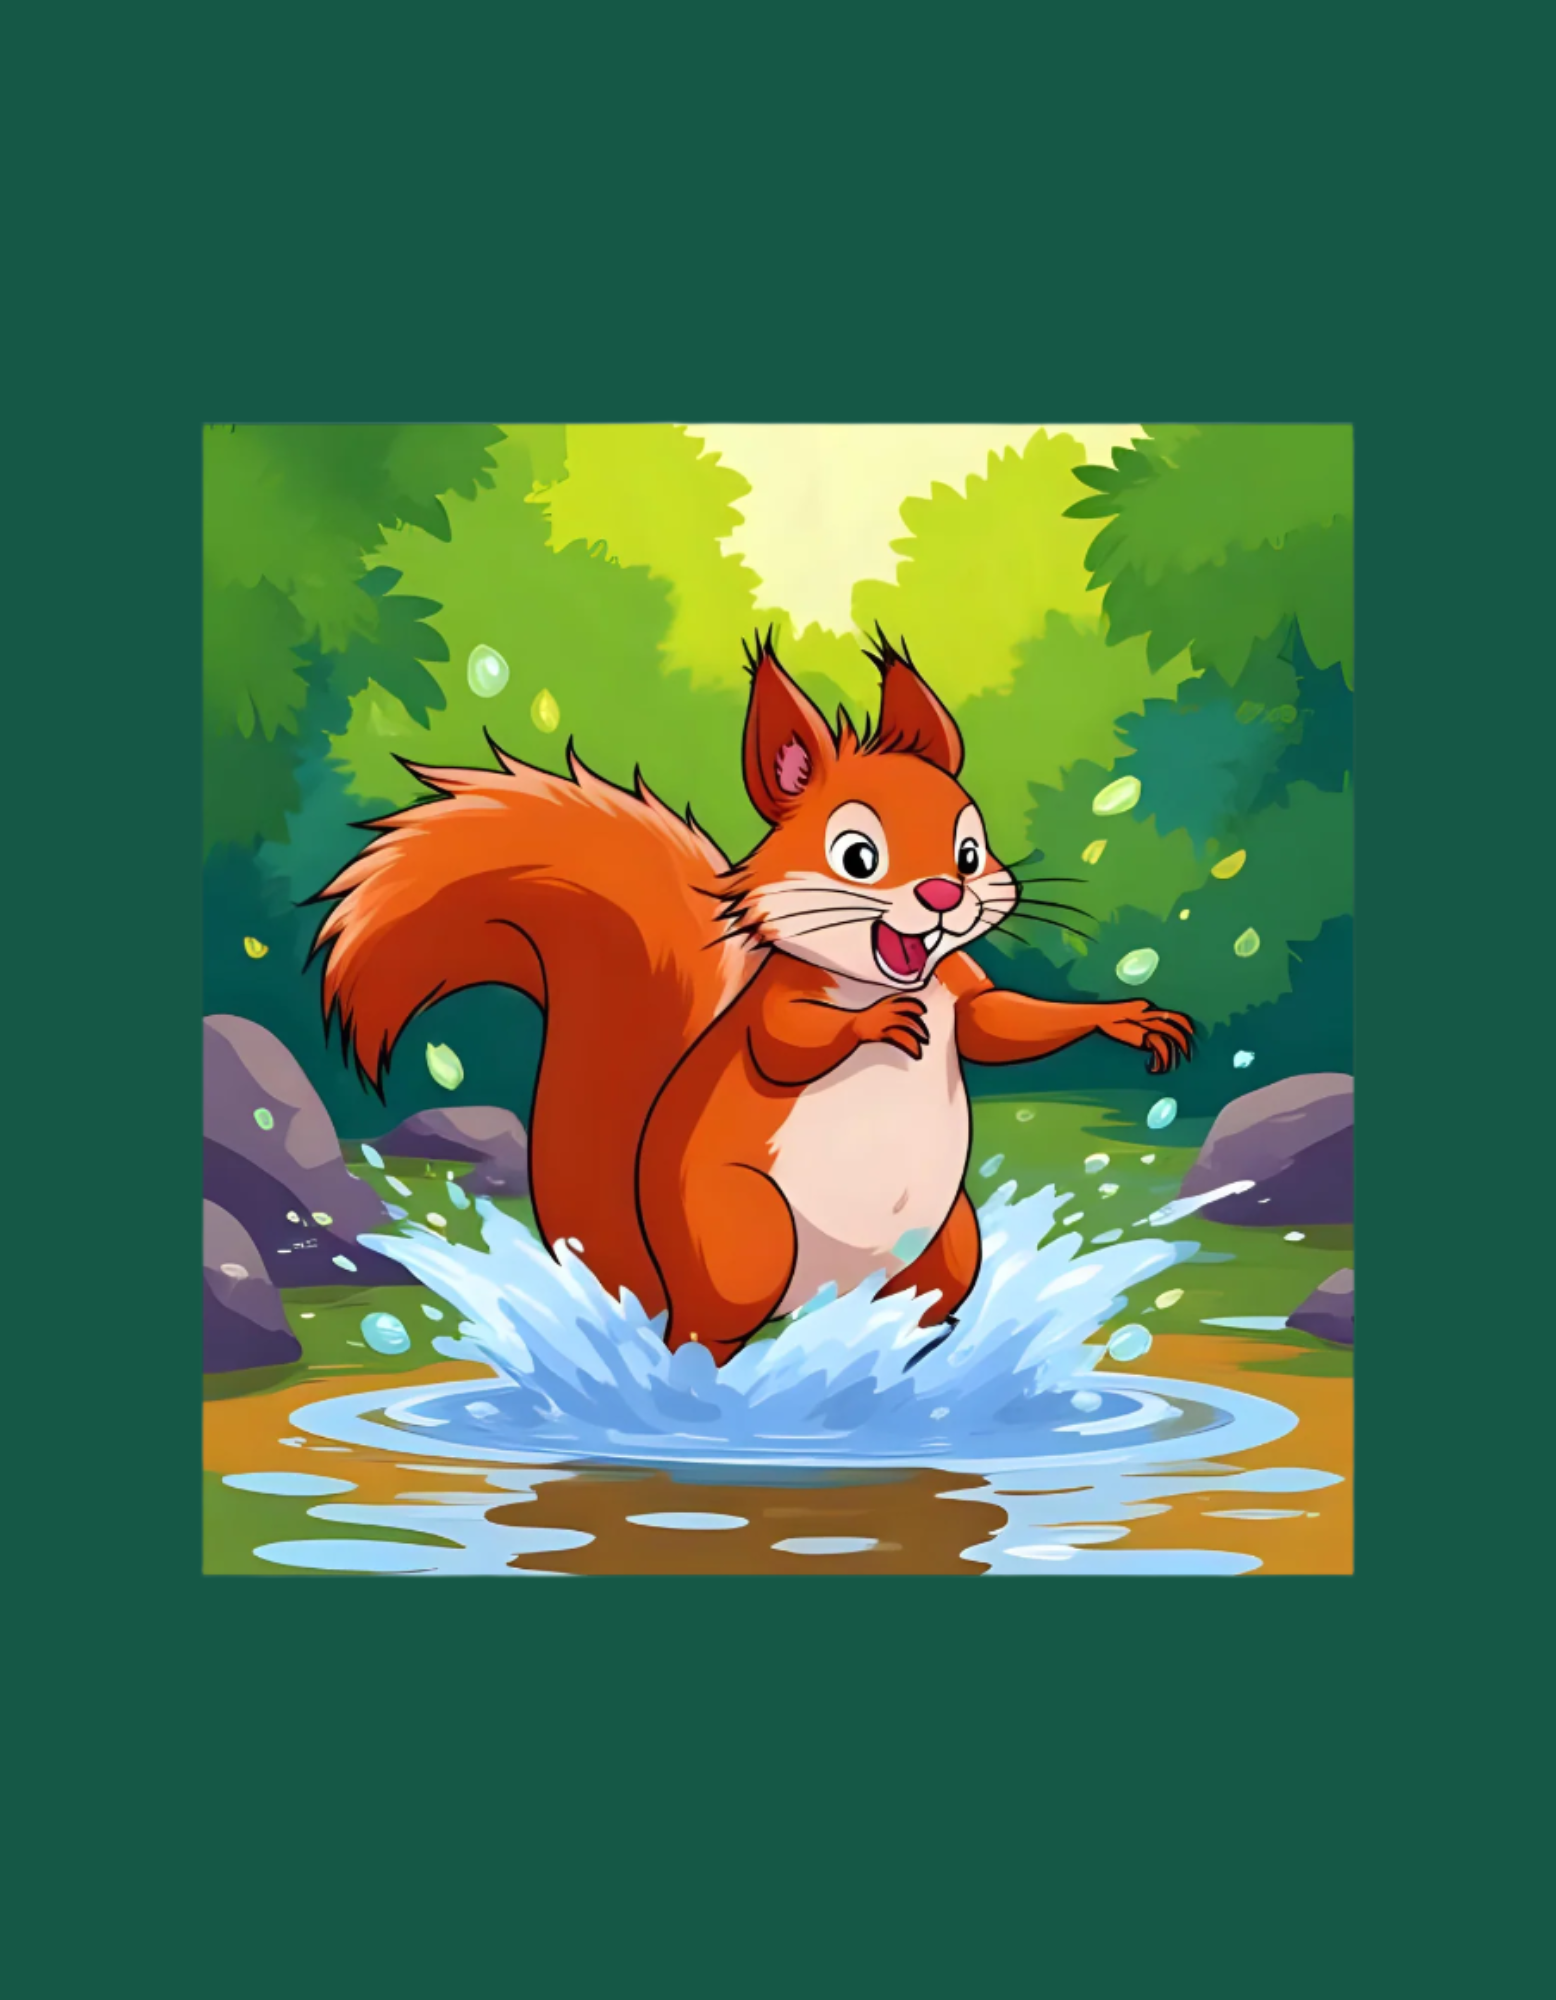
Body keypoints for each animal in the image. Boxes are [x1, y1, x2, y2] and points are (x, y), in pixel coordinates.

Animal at [311, 628, 1194, 1366]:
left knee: (918, 1299)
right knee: (706, 1333)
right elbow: (787, 1048)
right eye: (858, 856)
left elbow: (996, 1026)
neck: (884, 971)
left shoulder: (961, 989)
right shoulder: (779, 1004)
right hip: (744, 1239)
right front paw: (877, 1023)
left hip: (950, 1240)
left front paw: (1128, 1019)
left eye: (970, 851)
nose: (945, 895)